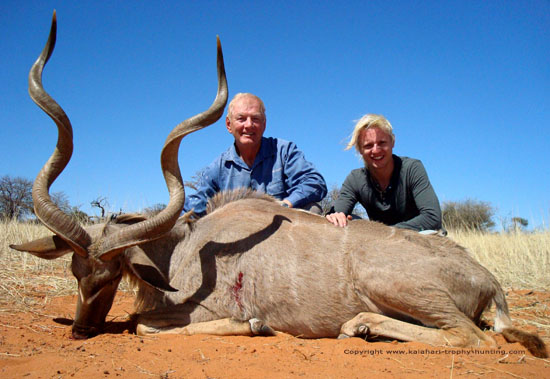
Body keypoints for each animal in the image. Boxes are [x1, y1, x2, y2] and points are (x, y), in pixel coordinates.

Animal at [10, 11, 548, 360]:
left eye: (110, 275)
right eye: (76, 273)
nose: (80, 332)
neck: (183, 250)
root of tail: (487, 280)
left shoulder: (195, 312)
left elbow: (143, 326)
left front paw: (253, 323)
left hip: (394, 285)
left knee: (474, 338)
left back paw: (361, 325)